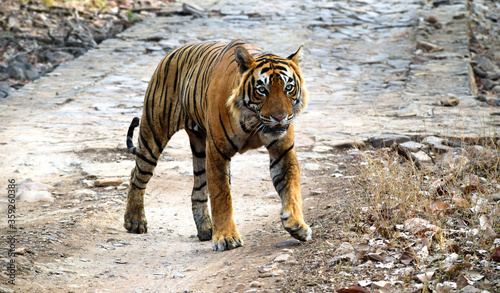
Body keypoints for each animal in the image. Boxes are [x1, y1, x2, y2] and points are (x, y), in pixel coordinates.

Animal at [124, 38, 310, 249]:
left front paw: (297, 225)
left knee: (197, 190)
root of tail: (170, 54)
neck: (253, 121)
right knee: (137, 174)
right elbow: (222, 196)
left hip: (199, 148)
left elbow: (292, 188)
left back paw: (206, 229)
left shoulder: (282, 150)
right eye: (262, 90)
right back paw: (135, 221)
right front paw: (226, 238)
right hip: (154, 133)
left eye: (289, 88)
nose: (280, 117)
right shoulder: (217, 152)